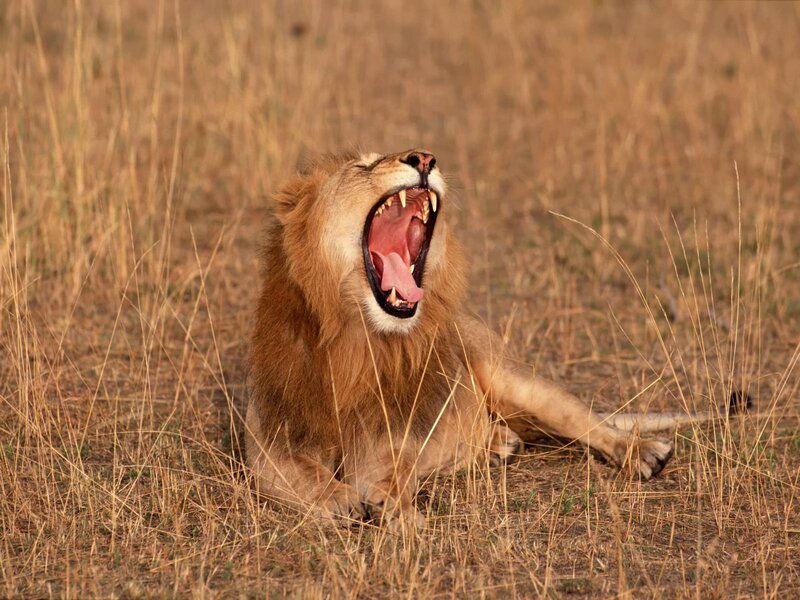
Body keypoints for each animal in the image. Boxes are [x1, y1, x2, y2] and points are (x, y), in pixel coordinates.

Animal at [244, 149, 733, 527]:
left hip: (515, 379)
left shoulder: (391, 436)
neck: (356, 337)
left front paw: (396, 506)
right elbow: (299, 473)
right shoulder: (269, 442)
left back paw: (643, 453)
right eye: (363, 165)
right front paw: (337, 497)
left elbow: (393, 471)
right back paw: (500, 444)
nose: (424, 158)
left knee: (592, 422)